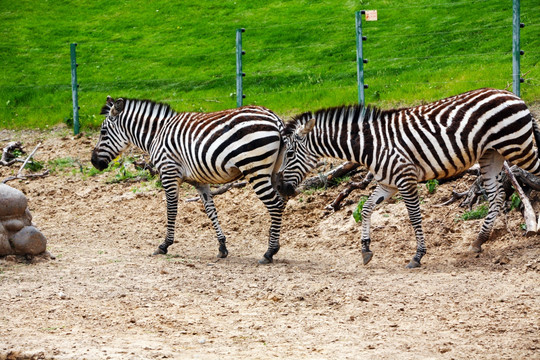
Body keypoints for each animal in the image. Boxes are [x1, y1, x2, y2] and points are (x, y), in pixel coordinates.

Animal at [90, 96, 288, 264]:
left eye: (103, 132)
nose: (93, 162)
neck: (156, 134)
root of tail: (274, 117)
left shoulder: (168, 173)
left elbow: (171, 210)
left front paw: (164, 245)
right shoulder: (200, 181)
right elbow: (210, 211)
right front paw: (222, 247)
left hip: (255, 168)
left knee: (275, 204)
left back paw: (269, 252)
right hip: (273, 170)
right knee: (281, 203)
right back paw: (273, 244)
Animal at [276, 87, 540, 268]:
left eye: (288, 154)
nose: (280, 188)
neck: (370, 146)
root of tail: (513, 95)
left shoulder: (406, 179)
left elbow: (414, 217)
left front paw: (418, 255)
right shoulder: (387, 184)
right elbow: (367, 208)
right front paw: (365, 250)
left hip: (518, 147)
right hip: (491, 156)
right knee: (497, 196)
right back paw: (479, 241)